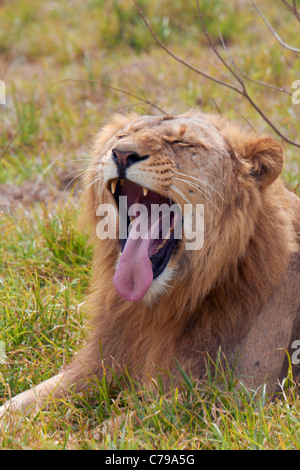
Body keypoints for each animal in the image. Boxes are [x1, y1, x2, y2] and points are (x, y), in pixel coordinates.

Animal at [0, 112, 300, 416]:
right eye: (123, 135)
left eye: (183, 143)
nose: (122, 154)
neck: (156, 308)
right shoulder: (100, 363)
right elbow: (25, 400)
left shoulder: (227, 398)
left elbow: (123, 423)